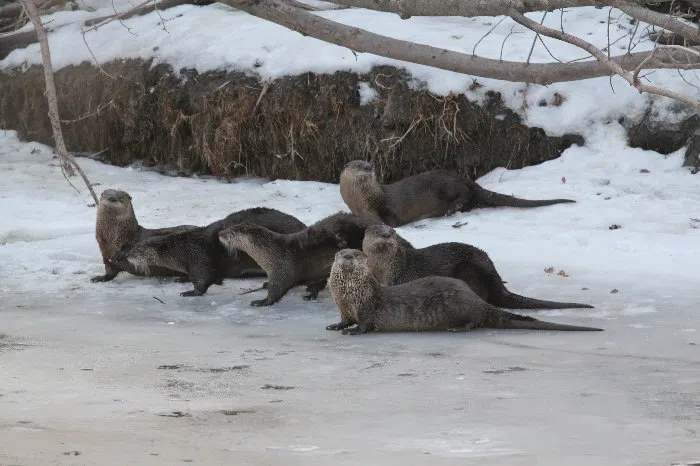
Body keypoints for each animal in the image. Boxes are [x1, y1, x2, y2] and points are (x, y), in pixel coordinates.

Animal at [111, 207, 306, 296]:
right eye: (129, 248)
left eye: (137, 249)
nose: (123, 256)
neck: (181, 251)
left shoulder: (198, 259)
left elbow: (202, 281)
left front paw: (189, 292)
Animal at [218, 212, 395, 306]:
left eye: (231, 232)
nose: (220, 234)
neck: (271, 253)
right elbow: (316, 282)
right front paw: (311, 294)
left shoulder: (281, 269)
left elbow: (276, 290)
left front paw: (261, 301)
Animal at [327, 249, 603, 334]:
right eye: (340, 253)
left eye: (357, 254)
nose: (348, 256)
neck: (350, 297)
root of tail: (476, 300)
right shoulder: (344, 308)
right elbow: (344, 320)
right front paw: (336, 326)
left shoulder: (367, 308)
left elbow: (365, 324)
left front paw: (353, 332)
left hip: (460, 304)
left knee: (476, 321)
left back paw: (458, 328)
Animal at [339, 160, 576, 227]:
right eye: (359, 165)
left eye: (368, 163)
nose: (370, 167)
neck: (363, 201)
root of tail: (464, 178)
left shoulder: (387, 206)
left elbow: (391, 220)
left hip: (446, 185)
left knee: (464, 195)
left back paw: (452, 209)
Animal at [362, 224, 593, 310]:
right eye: (376, 231)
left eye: (391, 232)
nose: (387, 235)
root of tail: (496, 278)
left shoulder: (400, 276)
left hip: (468, 269)